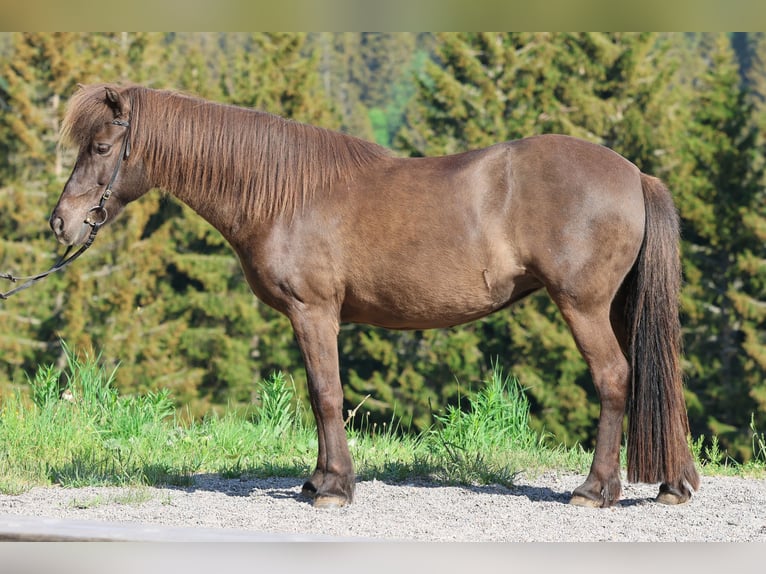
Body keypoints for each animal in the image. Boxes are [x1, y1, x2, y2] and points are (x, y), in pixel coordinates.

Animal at [51, 83, 700, 509]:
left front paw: (334, 488)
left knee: (615, 379)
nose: (62, 223)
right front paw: (317, 481)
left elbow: (326, 395)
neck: (284, 193)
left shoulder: (315, 313)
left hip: (582, 306)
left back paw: (595, 490)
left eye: (101, 148)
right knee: (658, 377)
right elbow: (320, 396)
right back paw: (674, 484)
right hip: (617, 307)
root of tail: (634, 174)